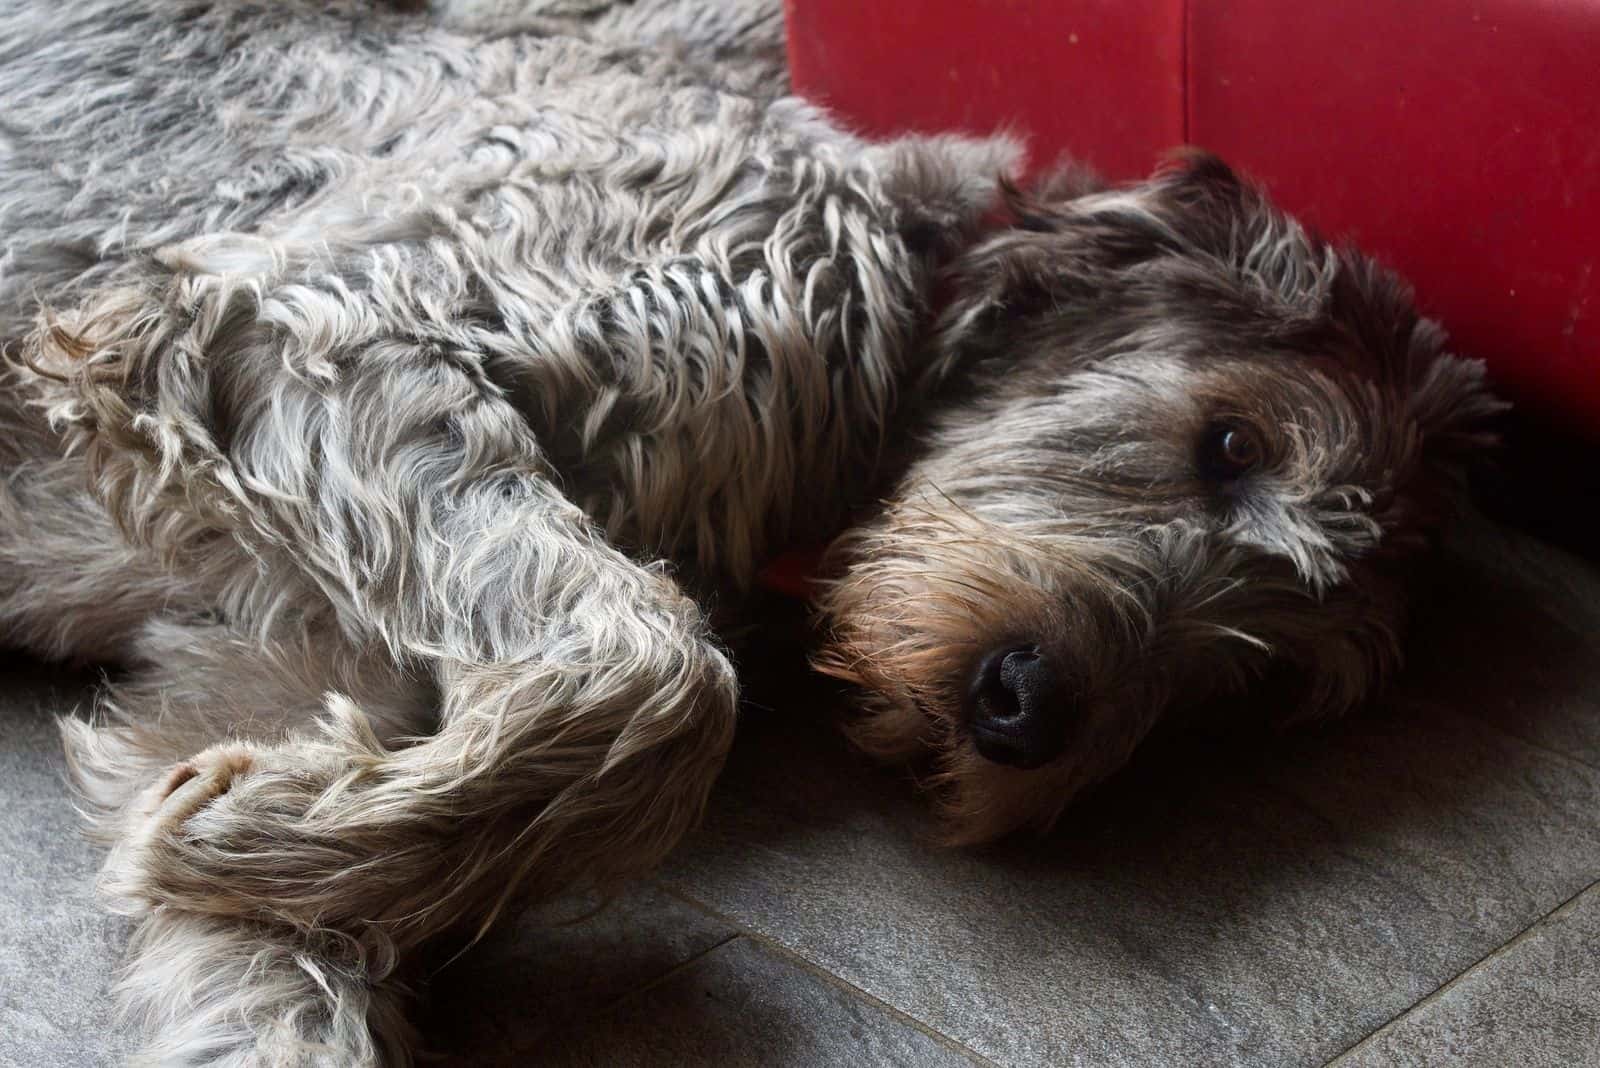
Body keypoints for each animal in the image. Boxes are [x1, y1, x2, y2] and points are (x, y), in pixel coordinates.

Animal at [0, 0, 1497, 1061]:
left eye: (1255, 684)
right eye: (1228, 445)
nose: (1022, 710)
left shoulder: (273, 668)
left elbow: (261, 939)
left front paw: (289, 841)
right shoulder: (296, 327)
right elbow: (668, 677)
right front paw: (258, 836)